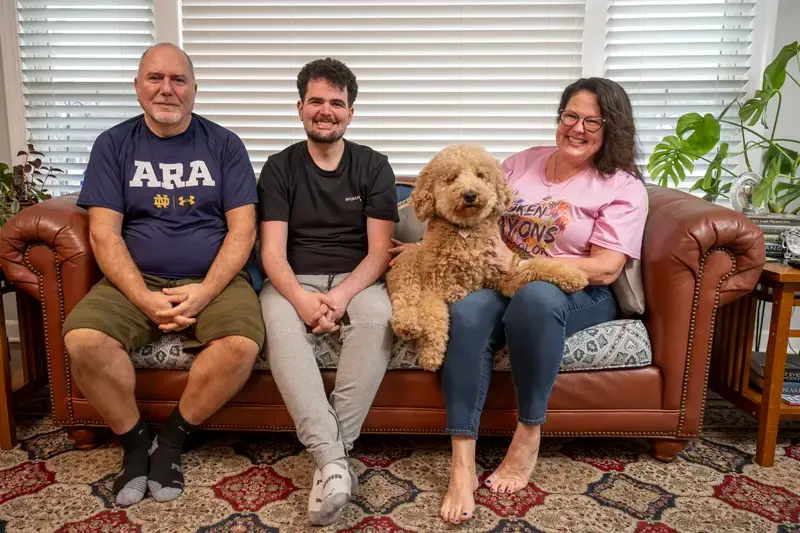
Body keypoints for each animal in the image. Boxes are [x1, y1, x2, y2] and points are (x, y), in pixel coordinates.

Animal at [386, 143, 588, 372]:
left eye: (480, 175)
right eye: (451, 178)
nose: (470, 194)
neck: (465, 232)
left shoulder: (505, 277)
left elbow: (534, 266)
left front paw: (572, 276)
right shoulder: (432, 289)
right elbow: (432, 319)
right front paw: (431, 354)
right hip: (408, 271)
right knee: (404, 300)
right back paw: (409, 325)